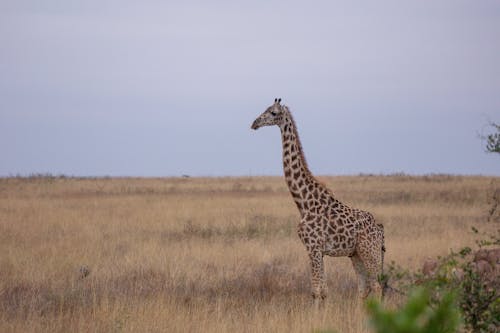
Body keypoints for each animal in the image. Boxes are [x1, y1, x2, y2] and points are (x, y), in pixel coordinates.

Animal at [252, 98, 384, 300]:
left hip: (370, 252)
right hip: (356, 254)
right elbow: (323, 290)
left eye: (273, 112)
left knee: (376, 287)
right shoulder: (318, 251)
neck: (304, 203)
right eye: (265, 109)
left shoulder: (313, 247)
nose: (255, 123)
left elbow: (316, 291)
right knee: (363, 288)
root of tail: (380, 230)